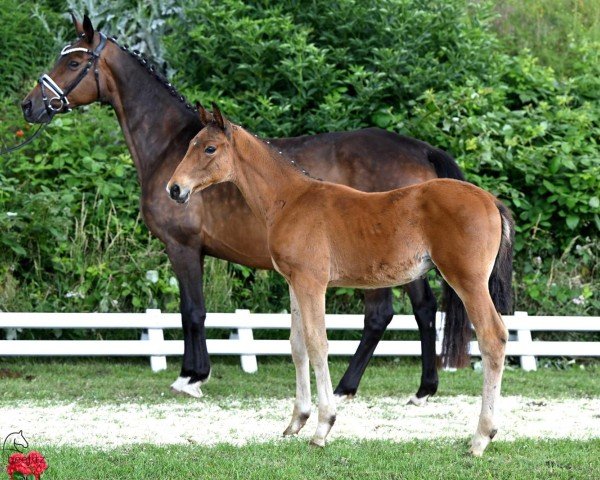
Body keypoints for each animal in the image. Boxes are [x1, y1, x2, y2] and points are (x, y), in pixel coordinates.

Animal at [166, 106, 512, 458]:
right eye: (190, 144)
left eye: (210, 148)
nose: (174, 189)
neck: (289, 200)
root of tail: (491, 202)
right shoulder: (294, 283)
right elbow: (298, 346)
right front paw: (297, 421)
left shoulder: (312, 283)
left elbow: (318, 344)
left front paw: (322, 427)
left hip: (467, 281)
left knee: (492, 337)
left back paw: (481, 437)